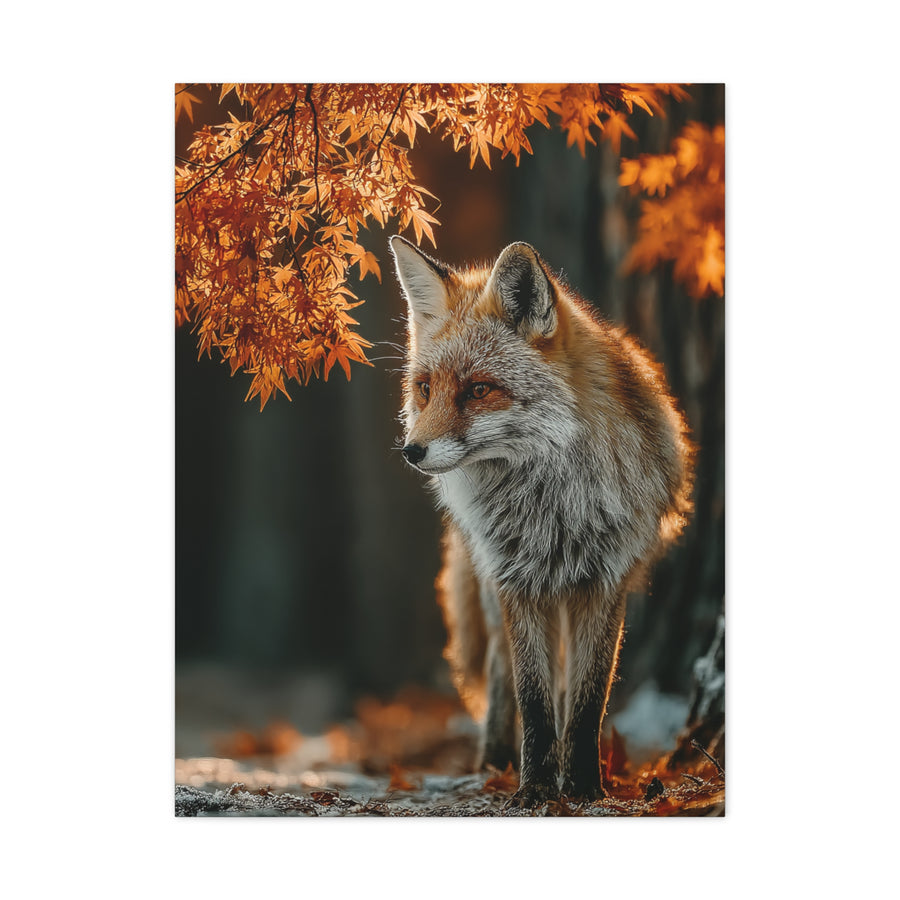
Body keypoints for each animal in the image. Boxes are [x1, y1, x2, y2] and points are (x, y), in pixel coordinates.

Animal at [389, 235, 695, 808]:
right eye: (424, 389)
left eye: (478, 390)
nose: (411, 451)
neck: (551, 511)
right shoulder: (518, 582)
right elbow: (532, 698)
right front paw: (533, 788)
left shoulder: (605, 582)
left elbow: (588, 698)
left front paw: (583, 787)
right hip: (495, 590)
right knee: (501, 672)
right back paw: (495, 760)